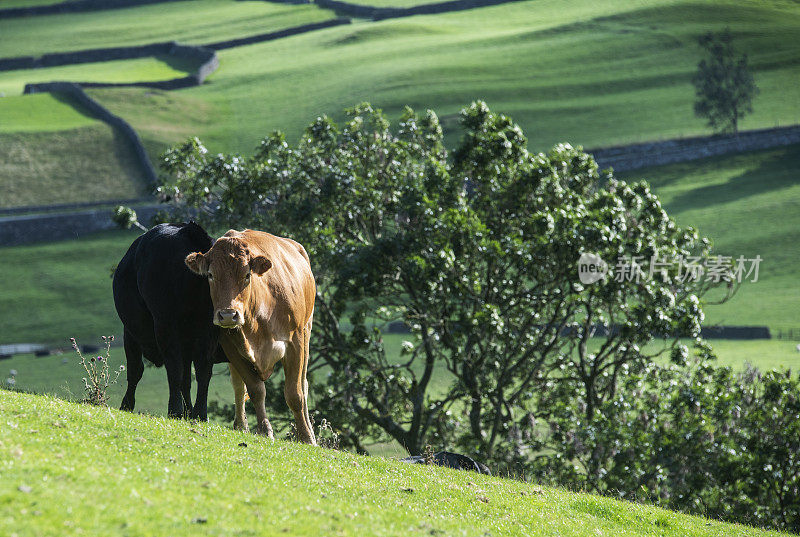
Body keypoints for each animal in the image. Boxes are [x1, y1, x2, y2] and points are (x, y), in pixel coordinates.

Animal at [113, 222, 225, 418]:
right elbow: (188, 378)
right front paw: (190, 412)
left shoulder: (132, 331)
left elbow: (136, 369)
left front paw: (126, 405)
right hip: (203, 329)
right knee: (201, 370)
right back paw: (198, 413)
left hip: (164, 325)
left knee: (174, 367)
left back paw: (176, 410)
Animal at [184, 229, 316, 444]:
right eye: (211, 275)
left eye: (247, 275)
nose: (228, 314)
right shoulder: (230, 344)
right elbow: (255, 390)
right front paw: (264, 429)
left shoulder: (296, 341)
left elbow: (294, 394)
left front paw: (305, 437)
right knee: (239, 387)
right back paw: (241, 425)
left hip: (307, 331)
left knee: (303, 385)